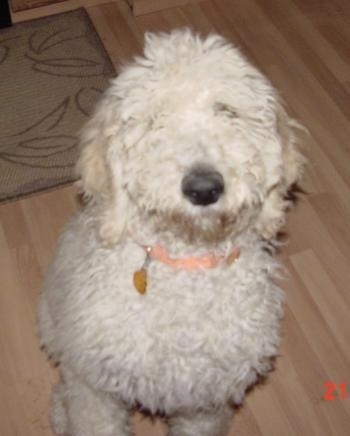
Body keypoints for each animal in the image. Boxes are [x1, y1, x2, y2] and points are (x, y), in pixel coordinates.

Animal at [38, 29, 304, 434]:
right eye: (154, 119)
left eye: (226, 111)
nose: (204, 188)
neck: (186, 269)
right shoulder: (95, 387)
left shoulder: (204, 400)